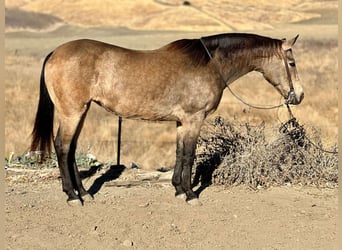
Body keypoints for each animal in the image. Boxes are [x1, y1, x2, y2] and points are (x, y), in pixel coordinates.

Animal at [30, 32, 302, 205]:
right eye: (291, 62)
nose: (298, 95)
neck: (211, 64)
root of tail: (55, 53)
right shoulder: (194, 119)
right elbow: (190, 155)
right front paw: (190, 194)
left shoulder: (182, 122)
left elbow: (180, 153)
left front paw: (179, 190)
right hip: (72, 112)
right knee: (63, 147)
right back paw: (72, 196)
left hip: (80, 112)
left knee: (70, 149)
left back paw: (84, 193)